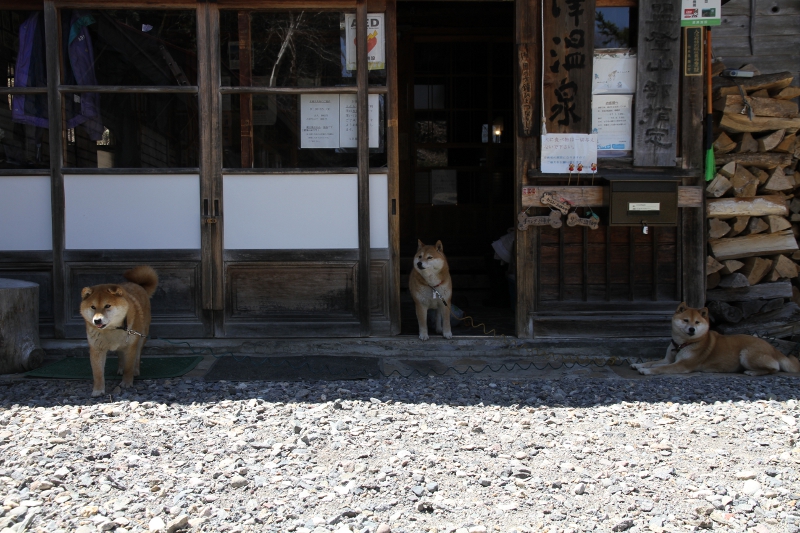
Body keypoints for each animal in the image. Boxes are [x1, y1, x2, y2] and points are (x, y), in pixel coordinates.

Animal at [80, 266, 158, 394]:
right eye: (93, 307)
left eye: (107, 306)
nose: (97, 320)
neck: (112, 329)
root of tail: (138, 285)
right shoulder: (96, 349)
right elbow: (98, 373)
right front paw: (98, 390)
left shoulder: (131, 345)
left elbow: (129, 366)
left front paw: (127, 383)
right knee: (120, 355)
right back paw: (120, 368)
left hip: (141, 336)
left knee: (137, 356)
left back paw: (135, 371)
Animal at [632, 304, 800, 374]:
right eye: (686, 320)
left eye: (697, 322)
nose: (692, 329)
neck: (681, 344)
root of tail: (773, 348)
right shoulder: (669, 358)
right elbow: (653, 362)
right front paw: (638, 364)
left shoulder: (683, 365)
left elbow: (660, 368)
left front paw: (646, 371)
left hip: (746, 354)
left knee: (774, 369)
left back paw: (751, 372)